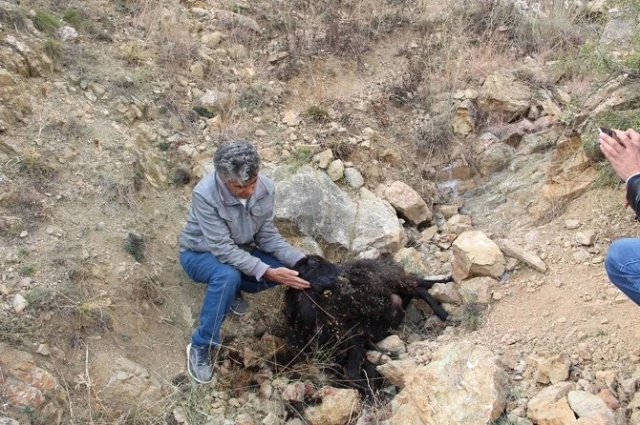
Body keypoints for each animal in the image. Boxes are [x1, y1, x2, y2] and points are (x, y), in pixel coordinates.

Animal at [282, 253, 452, 392]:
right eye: (316, 263)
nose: (344, 273)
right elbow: (352, 373)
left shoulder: (353, 339)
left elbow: (352, 372)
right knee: (417, 288)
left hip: (395, 282)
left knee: (419, 286)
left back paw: (446, 303)